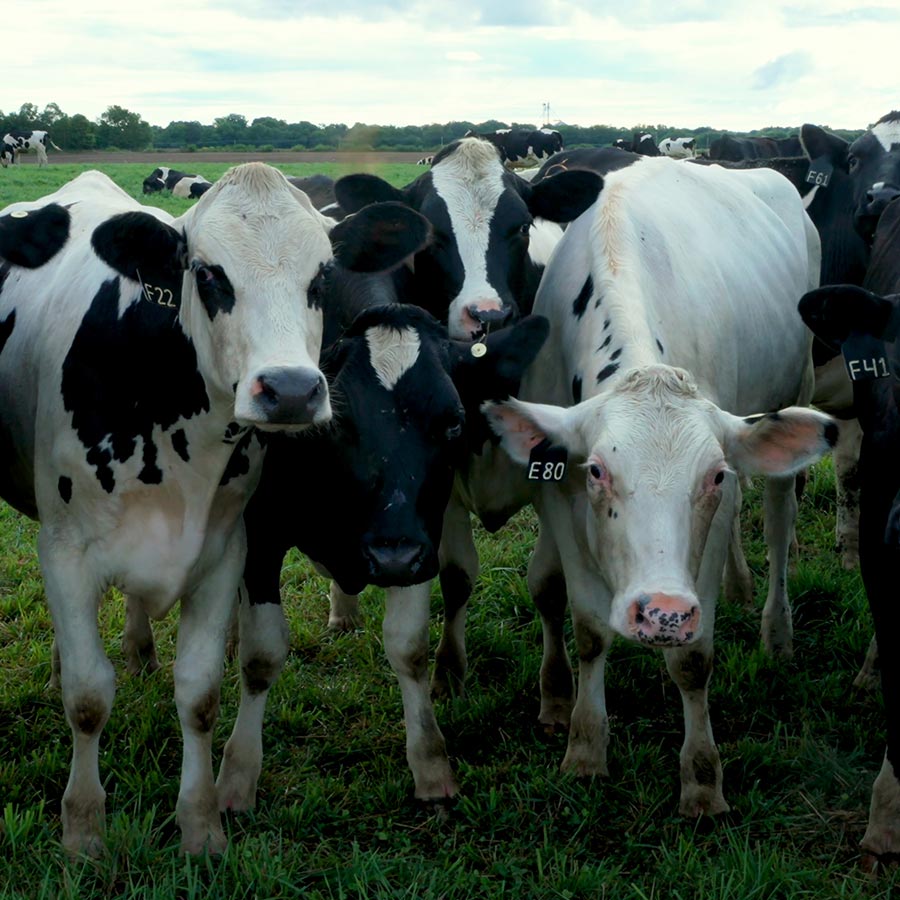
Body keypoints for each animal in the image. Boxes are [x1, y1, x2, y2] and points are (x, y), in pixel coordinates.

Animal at [0, 164, 429, 855]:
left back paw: (140, 650)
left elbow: (200, 693)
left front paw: (199, 824)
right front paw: (84, 829)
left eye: (322, 276)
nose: (290, 390)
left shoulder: (225, 552)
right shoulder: (66, 553)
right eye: (207, 273)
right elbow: (87, 696)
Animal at [483, 156, 836, 815]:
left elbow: (694, 661)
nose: (663, 612)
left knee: (778, 524)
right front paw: (585, 749)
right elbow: (589, 631)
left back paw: (775, 630)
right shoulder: (559, 493)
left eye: (713, 474)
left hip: (793, 391)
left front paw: (702, 779)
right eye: (598, 471)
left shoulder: (721, 499)